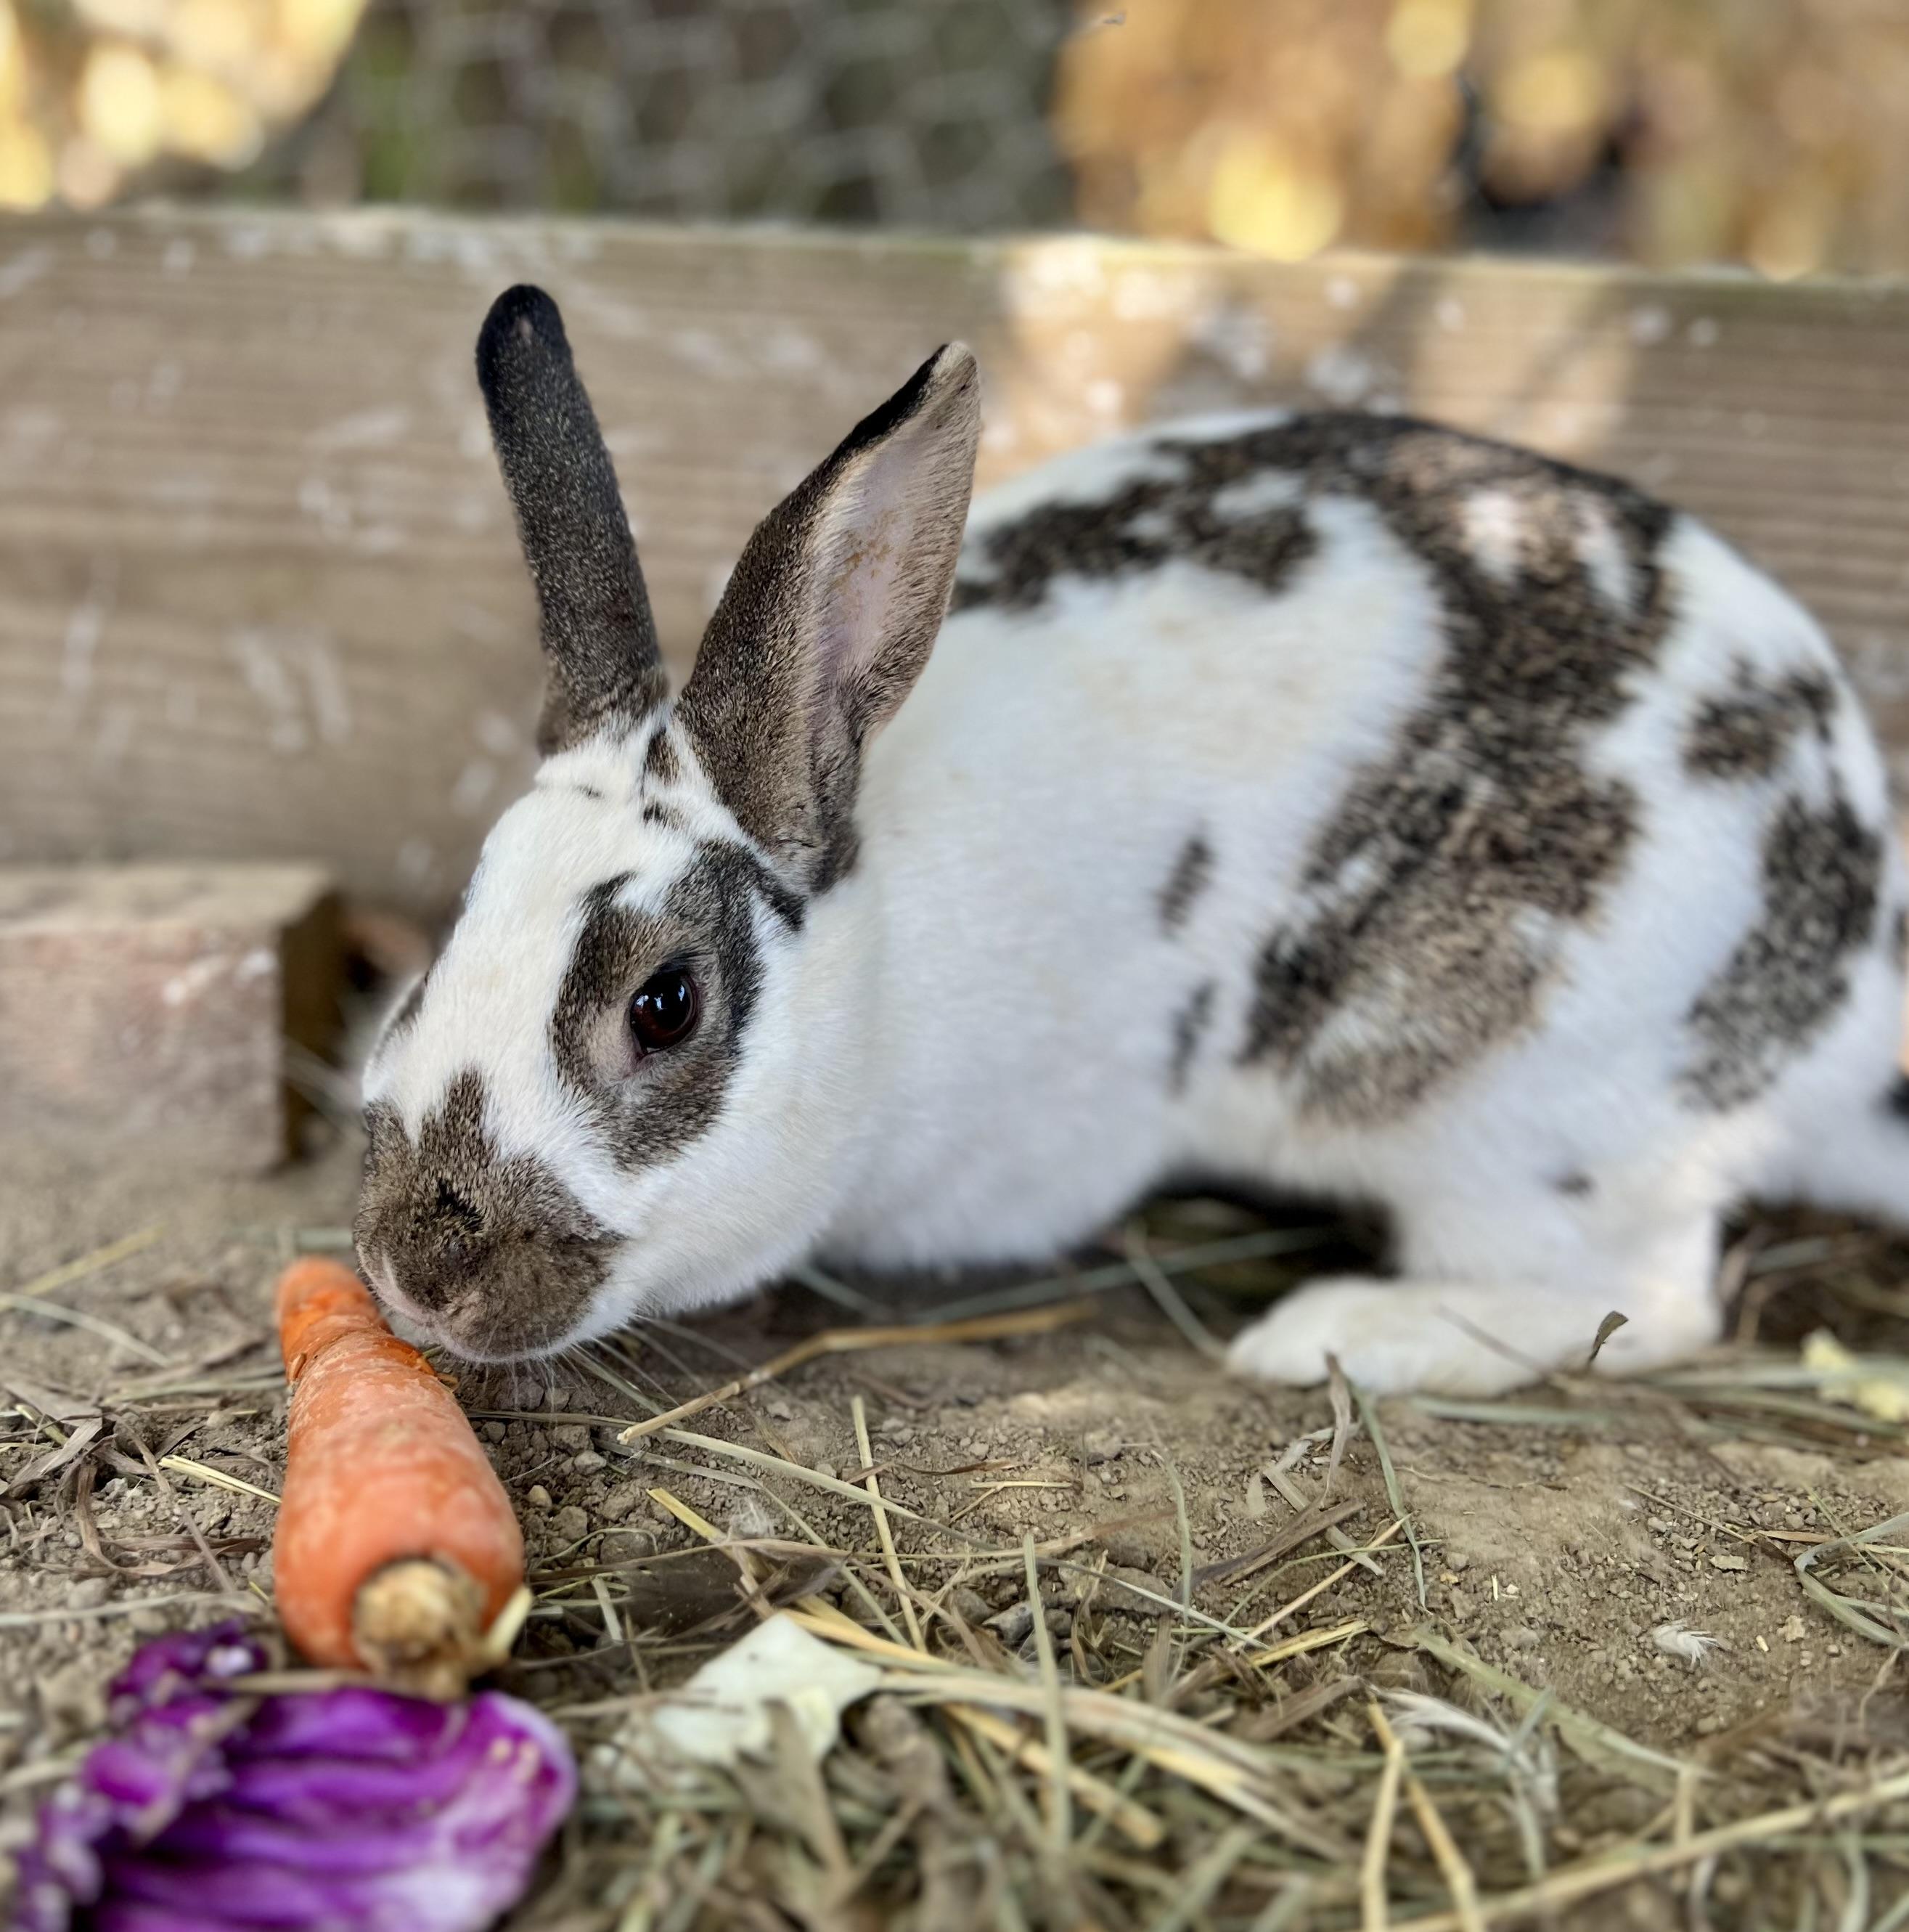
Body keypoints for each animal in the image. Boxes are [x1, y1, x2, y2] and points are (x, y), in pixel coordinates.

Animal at [354, 281, 1909, 1396]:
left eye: (664, 1005)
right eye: (449, 939)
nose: (417, 1268)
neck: (888, 967)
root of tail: (1854, 989)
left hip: (1526, 1120)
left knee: (1648, 1297)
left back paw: (1343, 1333)